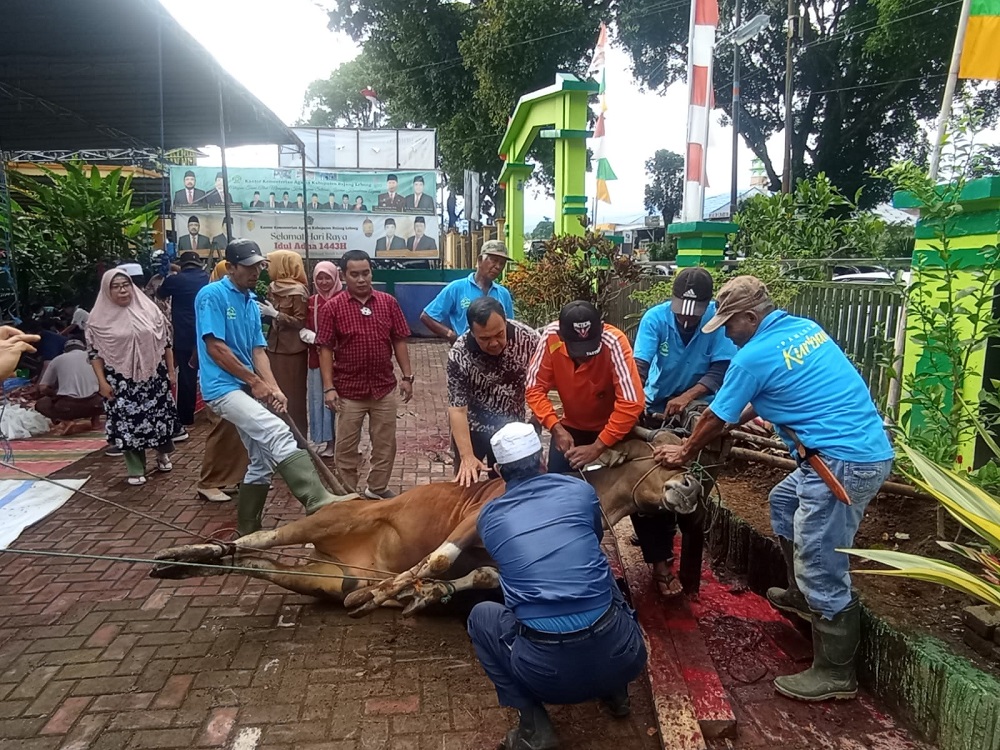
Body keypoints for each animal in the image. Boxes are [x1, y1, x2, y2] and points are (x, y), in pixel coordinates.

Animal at [152, 428, 700, 616]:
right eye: (655, 455)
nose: (693, 486)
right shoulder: (475, 517)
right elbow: (437, 559)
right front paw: (391, 591)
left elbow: (481, 573)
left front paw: (422, 594)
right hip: (326, 522)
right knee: (261, 537)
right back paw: (186, 554)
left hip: (321, 577)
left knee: (260, 564)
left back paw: (184, 565)